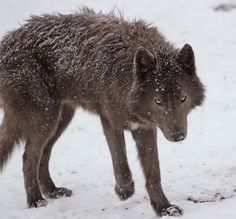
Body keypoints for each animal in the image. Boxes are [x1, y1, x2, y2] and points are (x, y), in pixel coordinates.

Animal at [0, 7, 204, 217]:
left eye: (183, 98)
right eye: (158, 101)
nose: (178, 137)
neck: (125, 78)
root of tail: (4, 44)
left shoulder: (146, 127)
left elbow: (153, 173)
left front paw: (165, 208)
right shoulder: (109, 121)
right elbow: (121, 162)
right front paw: (124, 190)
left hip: (60, 119)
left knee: (43, 153)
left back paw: (53, 191)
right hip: (46, 119)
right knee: (28, 158)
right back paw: (36, 201)